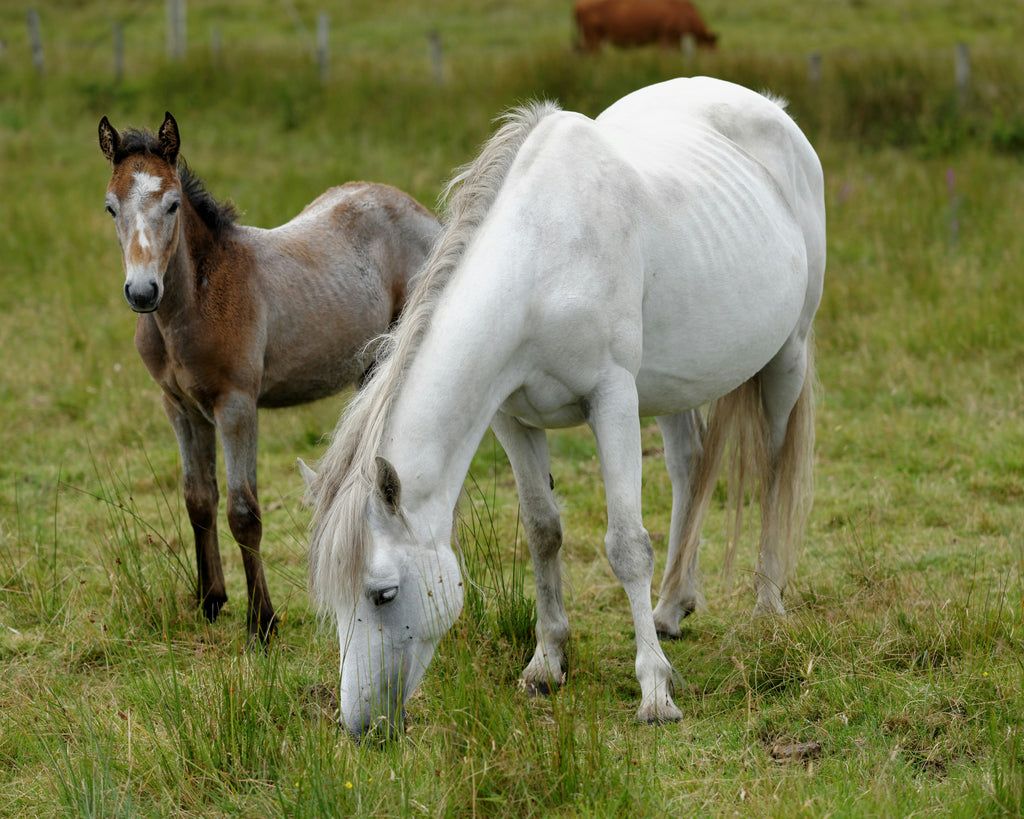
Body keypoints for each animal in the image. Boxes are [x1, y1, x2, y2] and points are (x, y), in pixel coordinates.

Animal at [97, 112, 442, 642]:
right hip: (368, 369)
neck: (196, 299)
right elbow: (199, 499)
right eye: (111, 207)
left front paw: (262, 620)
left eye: (172, 203)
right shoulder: (178, 405)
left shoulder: (236, 405)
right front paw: (210, 600)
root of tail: (422, 211)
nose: (141, 292)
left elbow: (244, 511)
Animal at [301, 78, 823, 741]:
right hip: (672, 384)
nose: (360, 725)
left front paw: (655, 690)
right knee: (689, 467)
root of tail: (771, 109)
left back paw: (767, 606)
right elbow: (542, 531)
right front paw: (547, 663)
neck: (541, 259)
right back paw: (671, 606)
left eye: (383, 595)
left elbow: (626, 545)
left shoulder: (613, 400)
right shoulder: (513, 420)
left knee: (776, 471)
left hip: (788, 356)